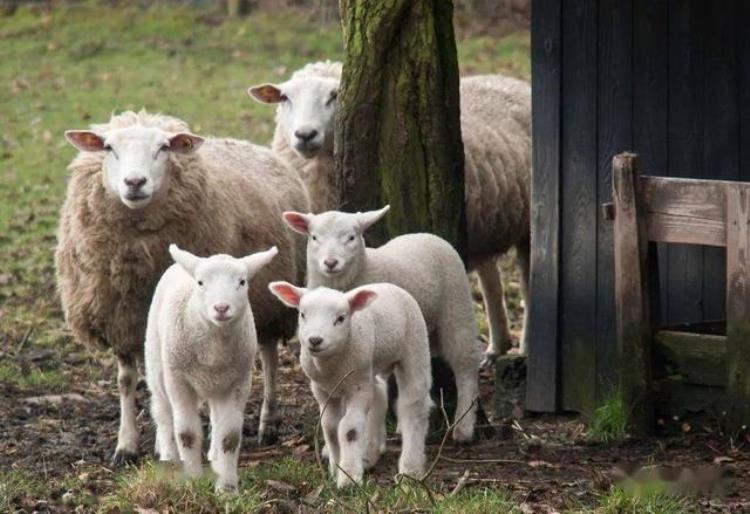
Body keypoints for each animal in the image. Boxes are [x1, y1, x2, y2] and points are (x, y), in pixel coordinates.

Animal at [55, 108, 308, 460]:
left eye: (163, 148)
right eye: (108, 148)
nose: (135, 182)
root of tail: (250, 145)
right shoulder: (121, 319)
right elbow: (127, 381)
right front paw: (127, 444)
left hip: (269, 303)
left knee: (269, 358)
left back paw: (266, 424)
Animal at [145, 242, 280, 490]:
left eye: (242, 281)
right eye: (200, 283)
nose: (221, 307)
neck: (214, 348)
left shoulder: (238, 381)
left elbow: (230, 437)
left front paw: (227, 487)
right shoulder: (178, 379)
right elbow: (186, 434)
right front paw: (193, 481)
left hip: (218, 384)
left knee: (216, 419)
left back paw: (214, 457)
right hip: (157, 365)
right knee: (163, 412)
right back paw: (169, 457)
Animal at [253, 65, 536, 360]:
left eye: (334, 95)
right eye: (285, 98)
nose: (305, 134)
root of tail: (508, 80)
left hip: (527, 225)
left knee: (527, 282)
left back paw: (525, 345)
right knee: (490, 276)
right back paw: (498, 345)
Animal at [270, 280, 434, 484]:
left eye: (341, 318)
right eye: (302, 314)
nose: (315, 340)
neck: (331, 367)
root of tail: (389, 285)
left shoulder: (357, 388)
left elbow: (349, 429)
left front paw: (349, 477)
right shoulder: (323, 390)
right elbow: (330, 427)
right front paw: (336, 468)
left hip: (414, 344)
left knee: (414, 405)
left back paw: (411, 468)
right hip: (370, 367)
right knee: (379, 397)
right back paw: (369, 455)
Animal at [282, 204, 482, 440]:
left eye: (351, 237)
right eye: (314, 237)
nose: (330, 262)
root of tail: (426, 234)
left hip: (457, 307)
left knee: (465, 364)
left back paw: (464, 426)